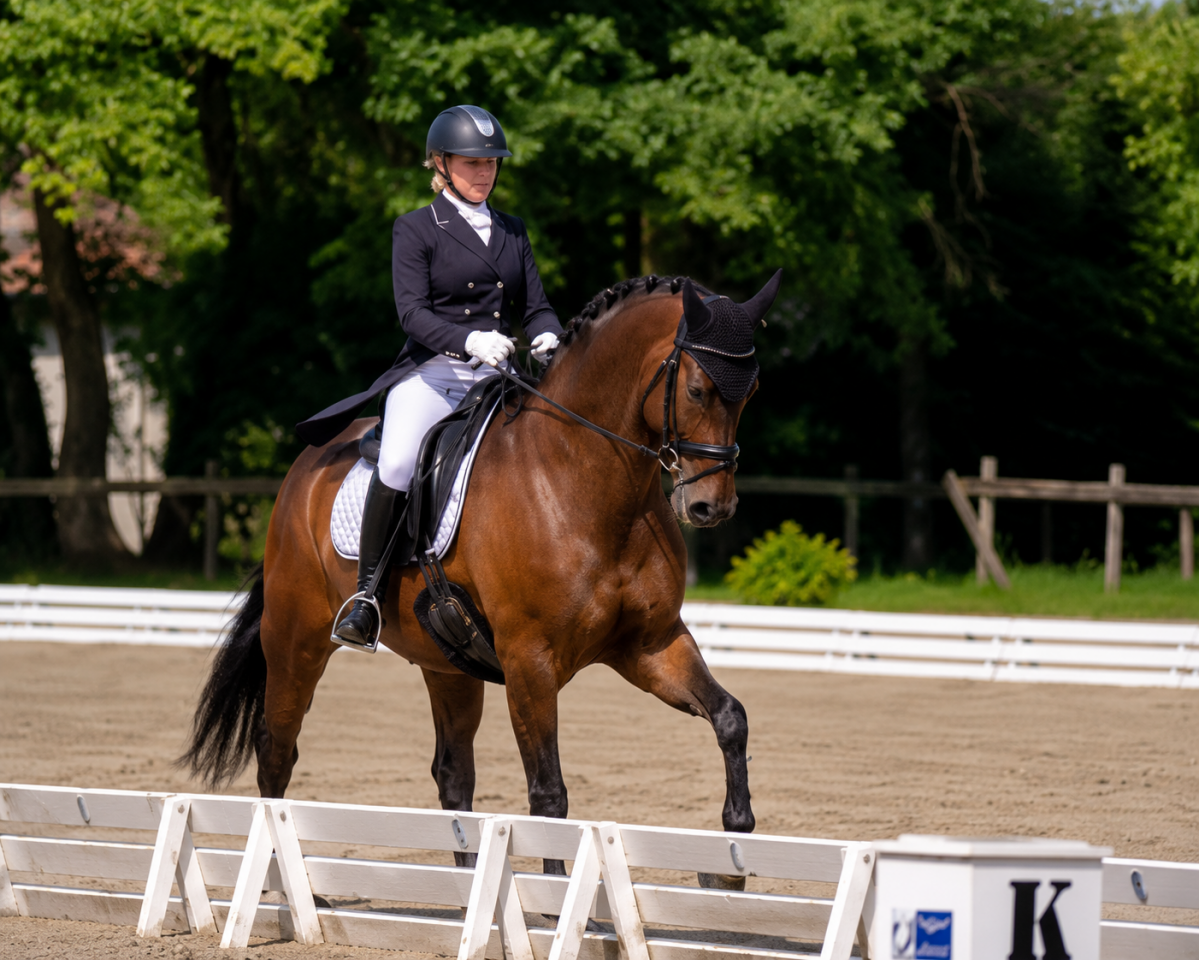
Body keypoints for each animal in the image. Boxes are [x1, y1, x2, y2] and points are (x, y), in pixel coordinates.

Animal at [180, 272, 779, 865]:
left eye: (751, 393)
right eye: (697, 390)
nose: (711, 507)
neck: (580, 477)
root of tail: (307, 464)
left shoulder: (650, 645)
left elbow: (731, 717)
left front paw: (736, 842)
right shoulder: (529, 661)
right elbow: (549, 796)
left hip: (447, 664)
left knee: (452, 774)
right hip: (296, 641)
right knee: (276, 751)